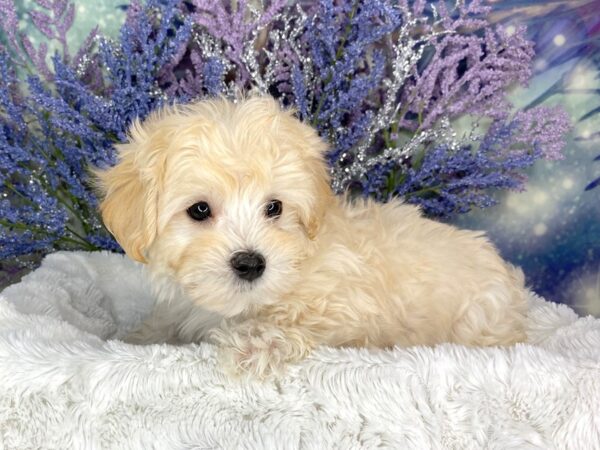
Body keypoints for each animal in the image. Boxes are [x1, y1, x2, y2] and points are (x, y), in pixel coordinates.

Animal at [96, 96, 528, 380]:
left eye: (274, 207)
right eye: (199, 210)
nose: (251, 263)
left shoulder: (349, 307)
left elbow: (304, 321)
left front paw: (254, 343)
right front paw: (138, 335)